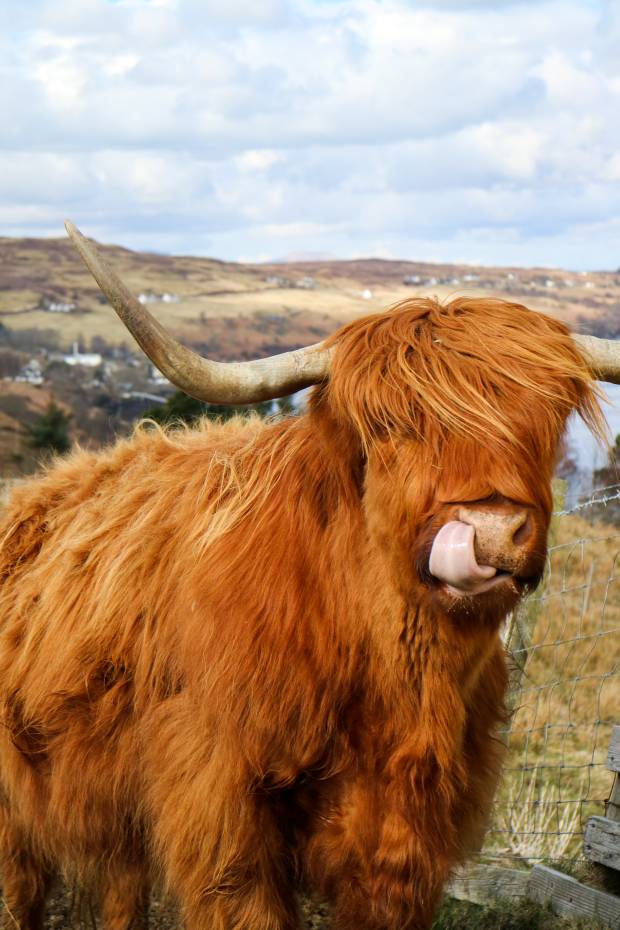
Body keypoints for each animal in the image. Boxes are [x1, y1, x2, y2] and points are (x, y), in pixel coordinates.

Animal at [0, 225, 616, 928]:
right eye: (389, 427)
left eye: (545, 423)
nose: (490, 529)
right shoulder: (222, 814)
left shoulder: (412, 836)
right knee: (23, 883)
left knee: (121, 888)